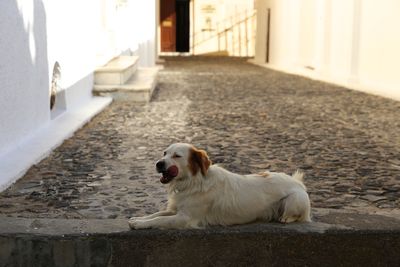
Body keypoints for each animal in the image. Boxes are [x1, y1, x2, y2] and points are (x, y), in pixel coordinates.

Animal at [130, 143, 310, 229]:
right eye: (165, 153)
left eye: (177, 155)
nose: (158, 164)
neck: (193, 182)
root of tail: (297, 182)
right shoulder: (176, 209)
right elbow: (157, 214)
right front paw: (138, 219)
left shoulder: (185, 218)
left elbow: (159, 219)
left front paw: (140, 224)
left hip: (295, 199)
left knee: (299, 216)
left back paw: (285, 218)